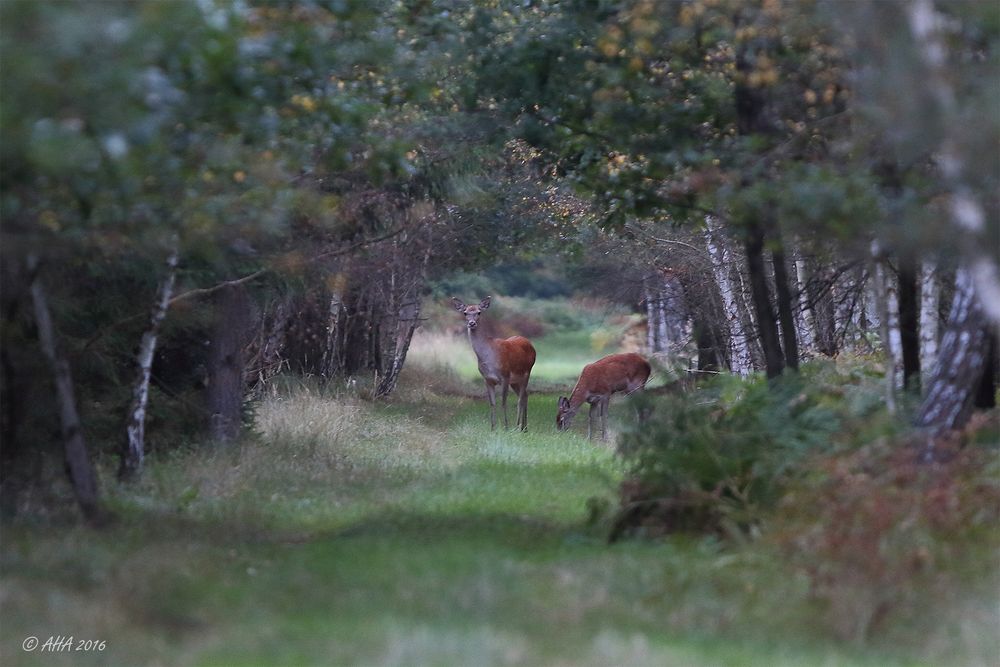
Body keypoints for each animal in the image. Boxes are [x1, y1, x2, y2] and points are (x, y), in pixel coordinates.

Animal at [452, 298, 536, 434]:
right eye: (465, 313)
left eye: (479, 312)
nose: (471, 323)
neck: (489, 357)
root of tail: (531, 345)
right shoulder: (487, 379)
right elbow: (492, 403)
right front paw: (493, 428)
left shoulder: (505, 375)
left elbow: (503, 402)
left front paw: (506, 427)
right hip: (515, 380)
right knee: (525, 395)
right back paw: (524, 428)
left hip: (527, 372)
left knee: (520, 398)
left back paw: (517, 426)